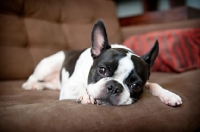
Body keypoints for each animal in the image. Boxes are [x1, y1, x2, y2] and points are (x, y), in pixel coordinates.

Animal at [22, 19, 183, 106]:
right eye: (102, 70)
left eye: (136, 86)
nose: (114, 86)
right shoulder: (68, 88)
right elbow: (81, 87)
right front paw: (86, 95)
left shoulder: (147, 83)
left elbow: (154, 84)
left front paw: (169, 95)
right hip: (48, 66)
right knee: (33, 77)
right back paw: (30, 85)